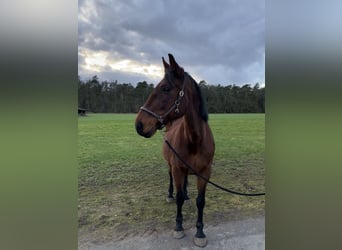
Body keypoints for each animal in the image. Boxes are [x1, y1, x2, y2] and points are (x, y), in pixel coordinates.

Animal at [135, 53, 215, 247]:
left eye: (165, 88)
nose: (139, 125)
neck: (195, 140)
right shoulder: (177, 168)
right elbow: (178, 198)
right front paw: (178, 227)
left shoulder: (205, 172)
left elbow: (200, 201)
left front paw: (200, 232)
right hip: (171, 165)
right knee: (171, 179)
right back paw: (170, 194)